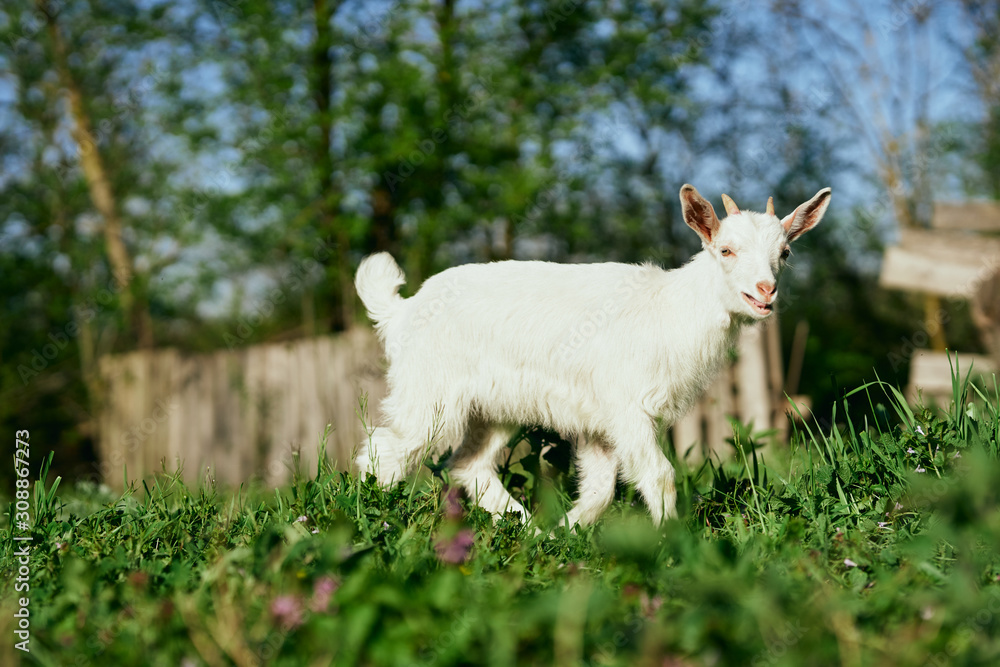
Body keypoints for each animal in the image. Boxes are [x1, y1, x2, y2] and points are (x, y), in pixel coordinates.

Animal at [354, 184, 831, 526]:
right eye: (726, 250)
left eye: (785, 252)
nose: (766, 292)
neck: (669, 311)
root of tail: (400, 311)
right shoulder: (627, 410)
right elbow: (659, 475)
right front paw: (674, 545)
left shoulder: (601, 425)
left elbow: (601, 489)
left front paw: (568, 533)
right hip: (428, 395)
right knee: (386, 449)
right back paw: (365, 517)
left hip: (493, 408)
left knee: (467, 465)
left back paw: (527, 529)